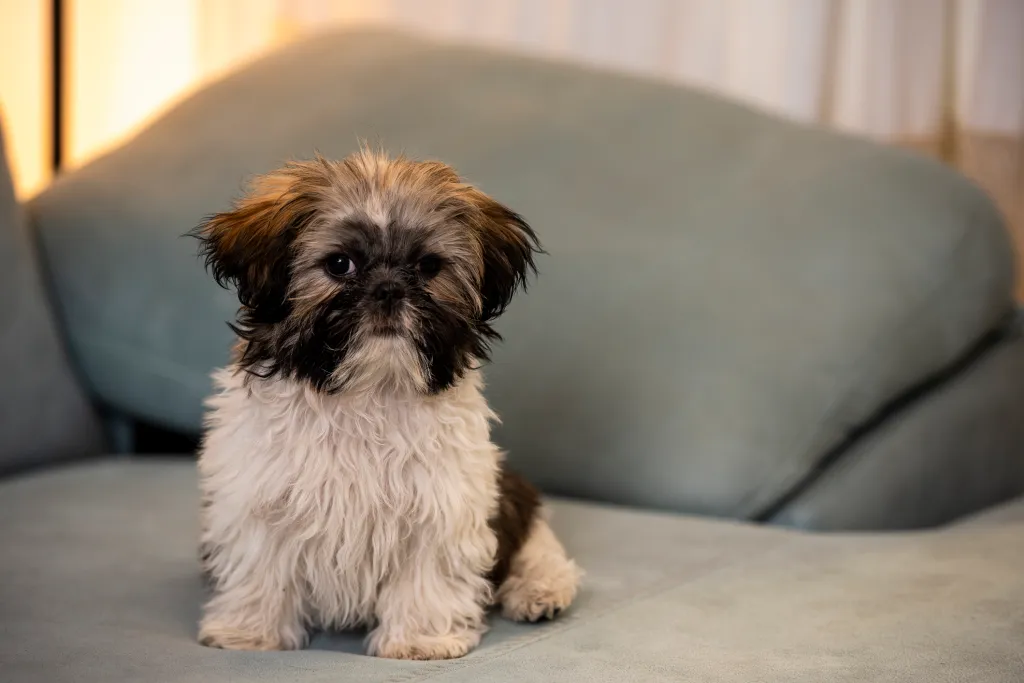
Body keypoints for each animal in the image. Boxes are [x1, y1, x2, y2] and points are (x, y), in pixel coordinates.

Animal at [189, 150, 581, 663]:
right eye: (340, 264)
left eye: (428, 266)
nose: (390, 289)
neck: (368, 391)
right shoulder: (257, 496)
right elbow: (261, 565)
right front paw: (251, 632)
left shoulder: (441, 502)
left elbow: (426, 575)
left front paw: (420, 640)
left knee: (538, 547)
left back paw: (539, 591)